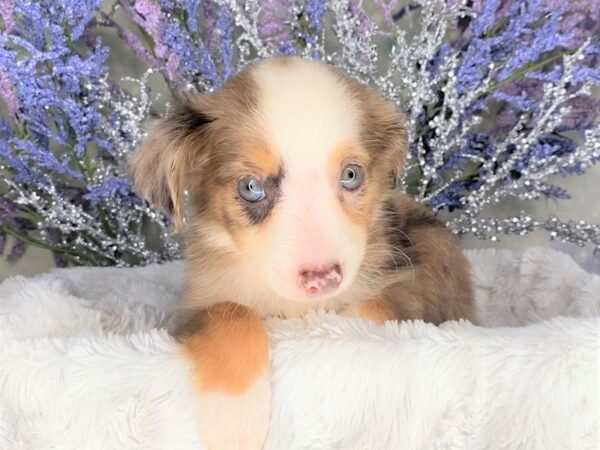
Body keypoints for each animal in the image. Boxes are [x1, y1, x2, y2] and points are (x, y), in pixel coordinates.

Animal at [130, 57, 474, 450]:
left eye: (351, 175)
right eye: (251, 187)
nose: (322, 278)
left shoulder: (409, 284)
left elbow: (379, 305)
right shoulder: (196, 305)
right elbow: (233, 312)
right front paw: (233, 422)